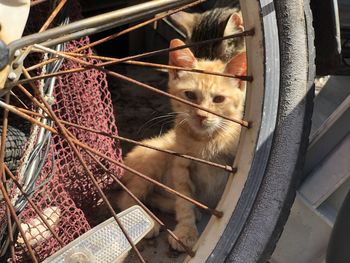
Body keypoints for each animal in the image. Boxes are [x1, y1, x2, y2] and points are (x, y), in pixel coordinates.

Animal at [117, 37, 246, 252]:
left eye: (218, 99)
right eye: (190, 95)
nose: (201, 116)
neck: (206, 141)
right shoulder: (180, 166)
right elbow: (184, 200)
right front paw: (186, 231)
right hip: (154, 161)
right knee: (128, 198)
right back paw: (148, 223)